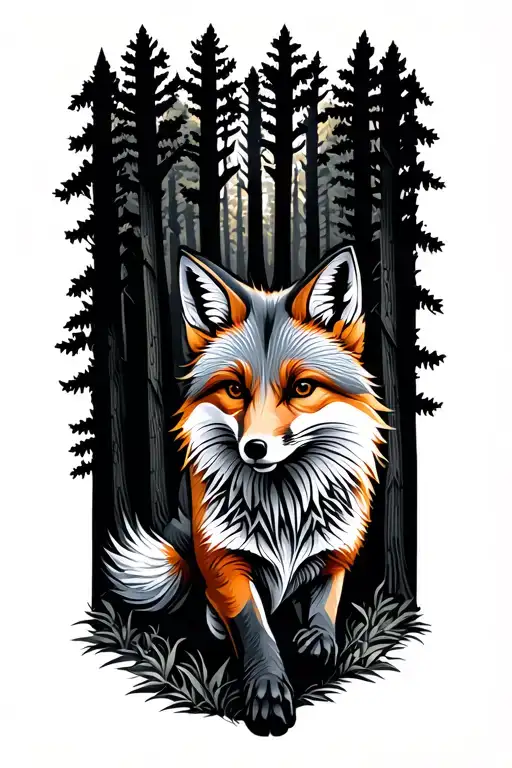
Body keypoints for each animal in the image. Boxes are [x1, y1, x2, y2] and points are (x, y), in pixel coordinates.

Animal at [105, 244, 387, 736]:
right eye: (235, 389)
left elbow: (327, 602)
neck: (284, 511)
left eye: (302, 387)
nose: (254, 448)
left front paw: (318, 640)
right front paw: (267, 690)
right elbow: (255, 627)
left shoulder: (338, 551)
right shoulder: (222, 561)